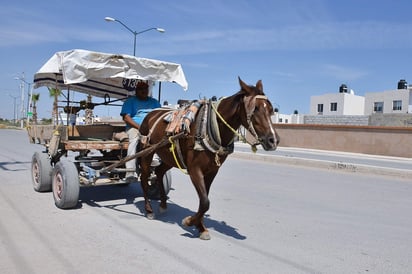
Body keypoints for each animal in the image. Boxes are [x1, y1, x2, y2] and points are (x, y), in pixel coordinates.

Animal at [139, 77, 280, 240]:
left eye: (271, 110)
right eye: (255, 108)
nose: (273, 140)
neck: (210, 126)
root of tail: (150, 114)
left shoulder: (212, 170)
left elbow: (204, 200)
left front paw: (200, 227)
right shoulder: (195, 170)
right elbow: (205, 201)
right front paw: (190, 221)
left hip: (170, 157)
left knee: (160, 172)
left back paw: (162, 204)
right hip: (146, 153)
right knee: (144, 178)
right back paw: (149, 210)